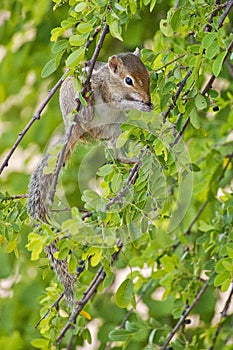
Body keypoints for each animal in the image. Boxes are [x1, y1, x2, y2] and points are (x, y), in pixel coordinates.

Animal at [27, 49, 153, 304]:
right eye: (128, 80)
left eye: (147, 74)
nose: (146, 99)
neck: (112, 79)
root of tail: (75, 132)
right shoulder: (109, 93)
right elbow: (118, 100)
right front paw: (141, 106)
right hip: (84, 116)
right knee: (87, 115)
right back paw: (85, 101)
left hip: (114, 127)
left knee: (115, 154)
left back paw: (135, 160)